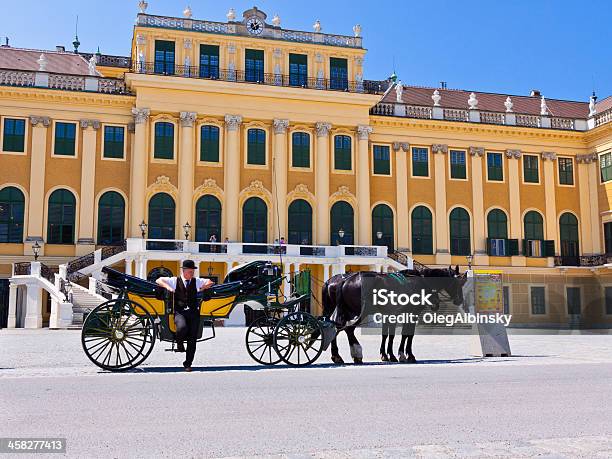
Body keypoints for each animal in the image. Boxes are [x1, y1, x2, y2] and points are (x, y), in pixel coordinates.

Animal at [320, 268, 464, 364]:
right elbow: (406, 335)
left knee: (335, 327)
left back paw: (339, 355)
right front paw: (405, 355)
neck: (420, 282)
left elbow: (387, 334)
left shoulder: (390, 314)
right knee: (347, 329)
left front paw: (387, 354)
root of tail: (345, 280)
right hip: (357, 311)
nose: (460, 300)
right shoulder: (411, 314)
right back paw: (356, 353)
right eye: (458, 283)